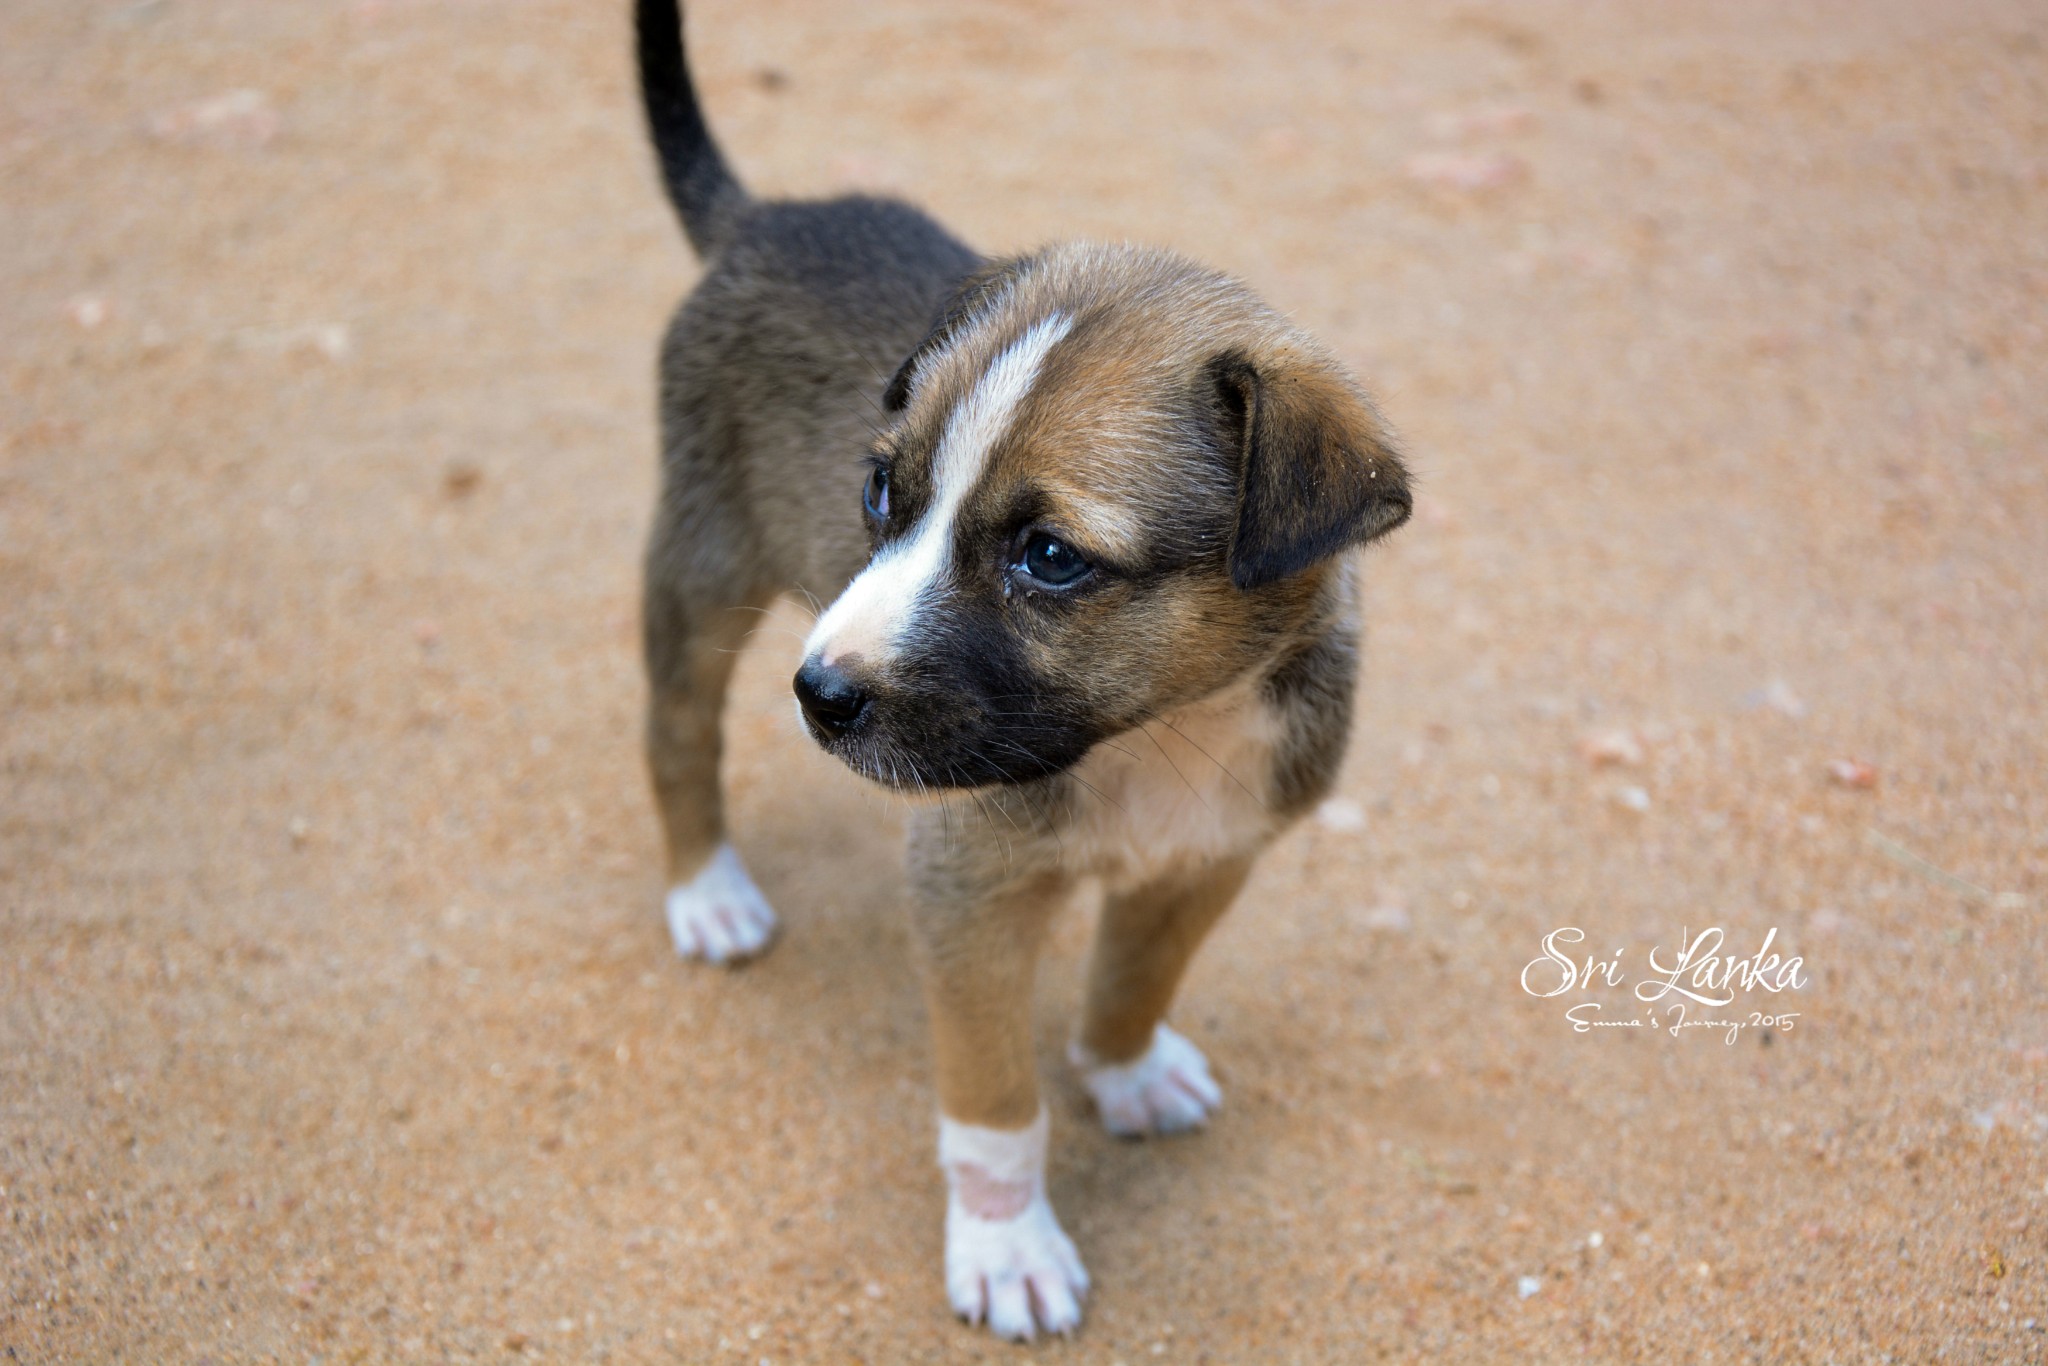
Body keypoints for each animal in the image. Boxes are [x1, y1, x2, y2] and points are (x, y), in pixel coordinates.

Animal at [634, 0, 1409, 1343]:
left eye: (1048, 558)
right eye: (878, 492)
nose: (819, 697)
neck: (1154, 736)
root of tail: (764, 214)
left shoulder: (1212, 852)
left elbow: (1135, 978)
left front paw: (1126, 1068)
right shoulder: (970, 895)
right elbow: (995, 1101)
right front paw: (1005, 1244)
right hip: (700, 564)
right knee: (676, 732)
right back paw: (707, 889)